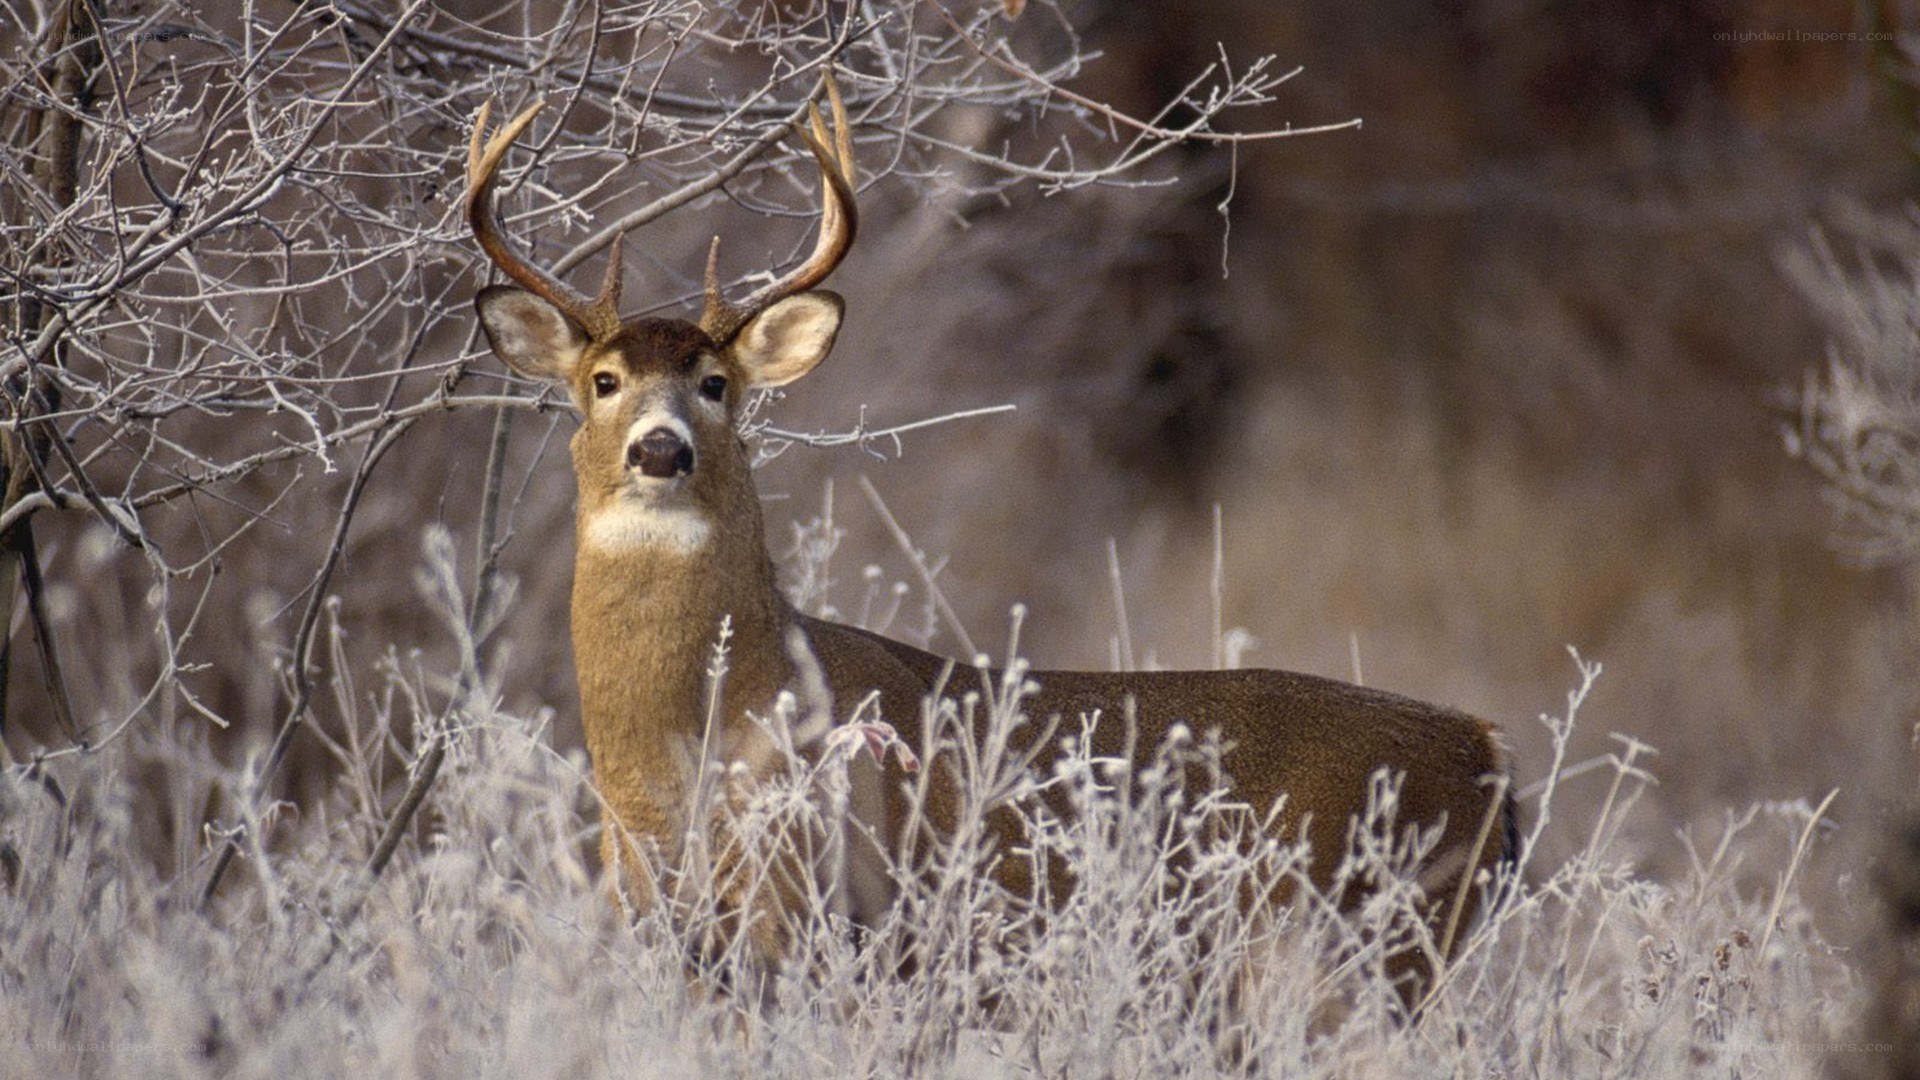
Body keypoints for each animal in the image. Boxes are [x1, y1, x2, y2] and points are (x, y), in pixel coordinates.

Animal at [464, 74, 1515, 1007]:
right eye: (602, 381)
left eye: (717, 385)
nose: (660, 447)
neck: (677, 759)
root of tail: (1488, 749)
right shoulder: (664, 919)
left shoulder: (818, 917)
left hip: (1357, 943)